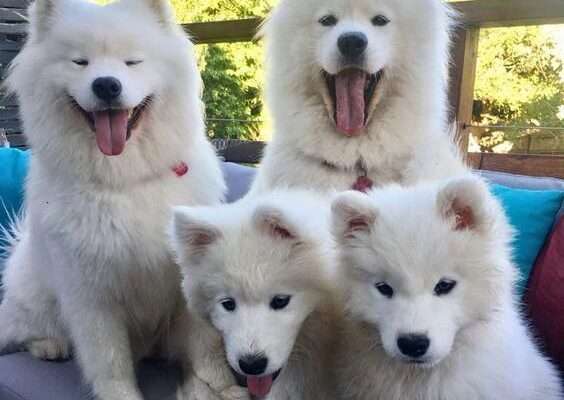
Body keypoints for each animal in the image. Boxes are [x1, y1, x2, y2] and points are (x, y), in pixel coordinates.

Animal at [0, 0, 225, 400]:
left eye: (132, 62)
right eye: (80, 62)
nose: (106, 84)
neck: (124, 180)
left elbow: (205, 344)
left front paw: (222, 383)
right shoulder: (90, 295)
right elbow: (108, 360)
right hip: (36, 295)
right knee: (25, 330)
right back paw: (49, 345)